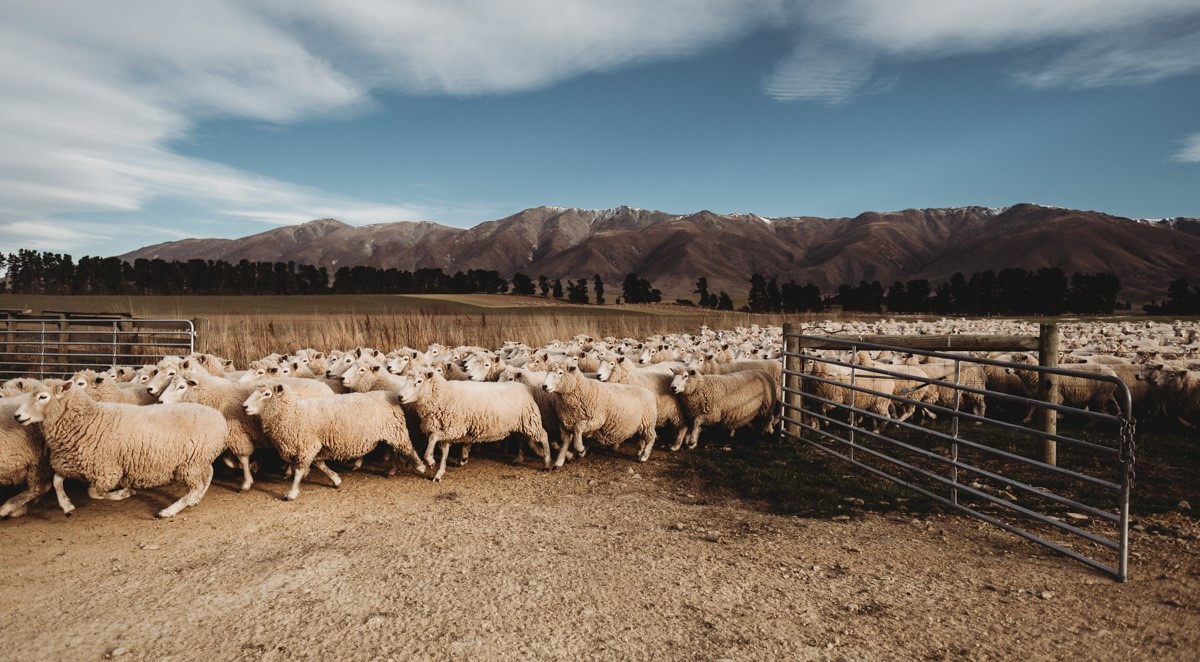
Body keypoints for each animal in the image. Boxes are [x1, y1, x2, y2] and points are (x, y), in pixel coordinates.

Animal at [12, 383, 225, 518]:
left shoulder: (107, 471)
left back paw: (168, 511)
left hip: (191, 462)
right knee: (208, 474)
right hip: (198, 460)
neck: (87, 420)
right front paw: (67, 506)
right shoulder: (74, 463)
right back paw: (194, 500)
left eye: (43, 397)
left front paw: (124, 493)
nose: (17, 416)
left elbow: (93, 492)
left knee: (197, 484)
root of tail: (219, 417)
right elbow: (57, 481)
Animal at [241, 383, 424, 501]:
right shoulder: (314, 446)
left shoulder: (307, 446)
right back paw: (392, 469)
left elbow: (299, 471)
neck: (291, 413)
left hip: (396, 430)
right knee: (394, 449)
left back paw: (420, 466)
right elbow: (320, 465)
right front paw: (336, 480)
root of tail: (391, 394)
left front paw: (292, 493)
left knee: (408, 447)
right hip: (389, 432)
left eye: (267, 394)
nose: (244, 407)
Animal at [398, 366, 549, 482]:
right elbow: (443, 452)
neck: (443, 396)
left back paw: (547, 462)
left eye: (419, 381)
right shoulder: (445, 430)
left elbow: (432, 437)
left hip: (530, 421)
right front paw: (439, 473)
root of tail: (524, 387)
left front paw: (430, 461)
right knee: (526, 440)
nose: (399, 396)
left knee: (543, 436)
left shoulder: (454, 428)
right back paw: (531, 455)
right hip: (519, 426)